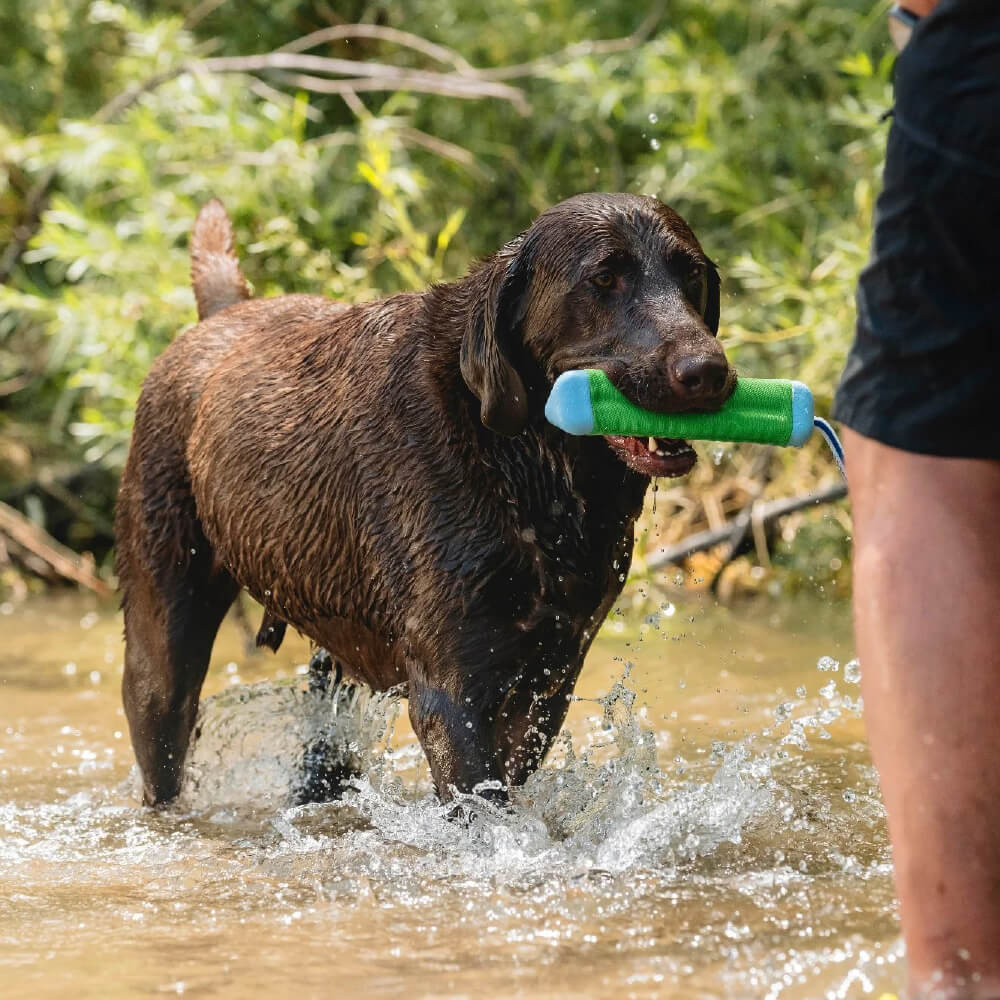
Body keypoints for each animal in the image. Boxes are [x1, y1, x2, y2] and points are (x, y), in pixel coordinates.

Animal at [115, 193, 736, 804]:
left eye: (692, 275)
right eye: (605, 278)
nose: (707, 371)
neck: (523, 466)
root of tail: (221, 315)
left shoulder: (550, 679)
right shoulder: (452, 693)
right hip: (163, 640)